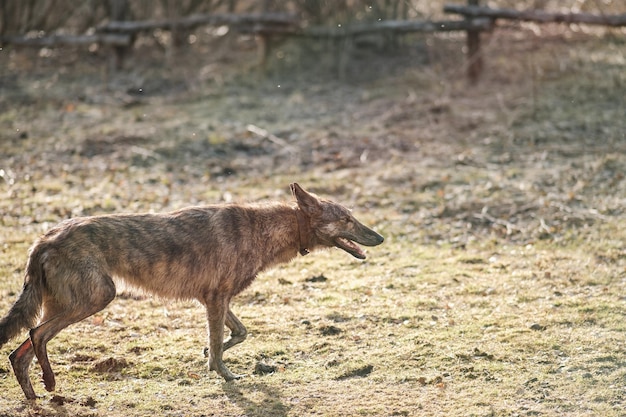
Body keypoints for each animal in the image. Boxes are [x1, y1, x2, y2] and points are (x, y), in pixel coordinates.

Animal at [0, 184, 380, 398]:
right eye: (346, 219)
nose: (381, 237)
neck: (267, 229)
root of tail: (44, 238)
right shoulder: (215, 300)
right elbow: (220, 343)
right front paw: (223, 373)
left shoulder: (215, 299)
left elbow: (237, 334)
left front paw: (209, 359)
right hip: (95, 298)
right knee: (36, 334)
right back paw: (50, 383)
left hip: (67, 304)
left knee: (19, 353)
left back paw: (35, 395)